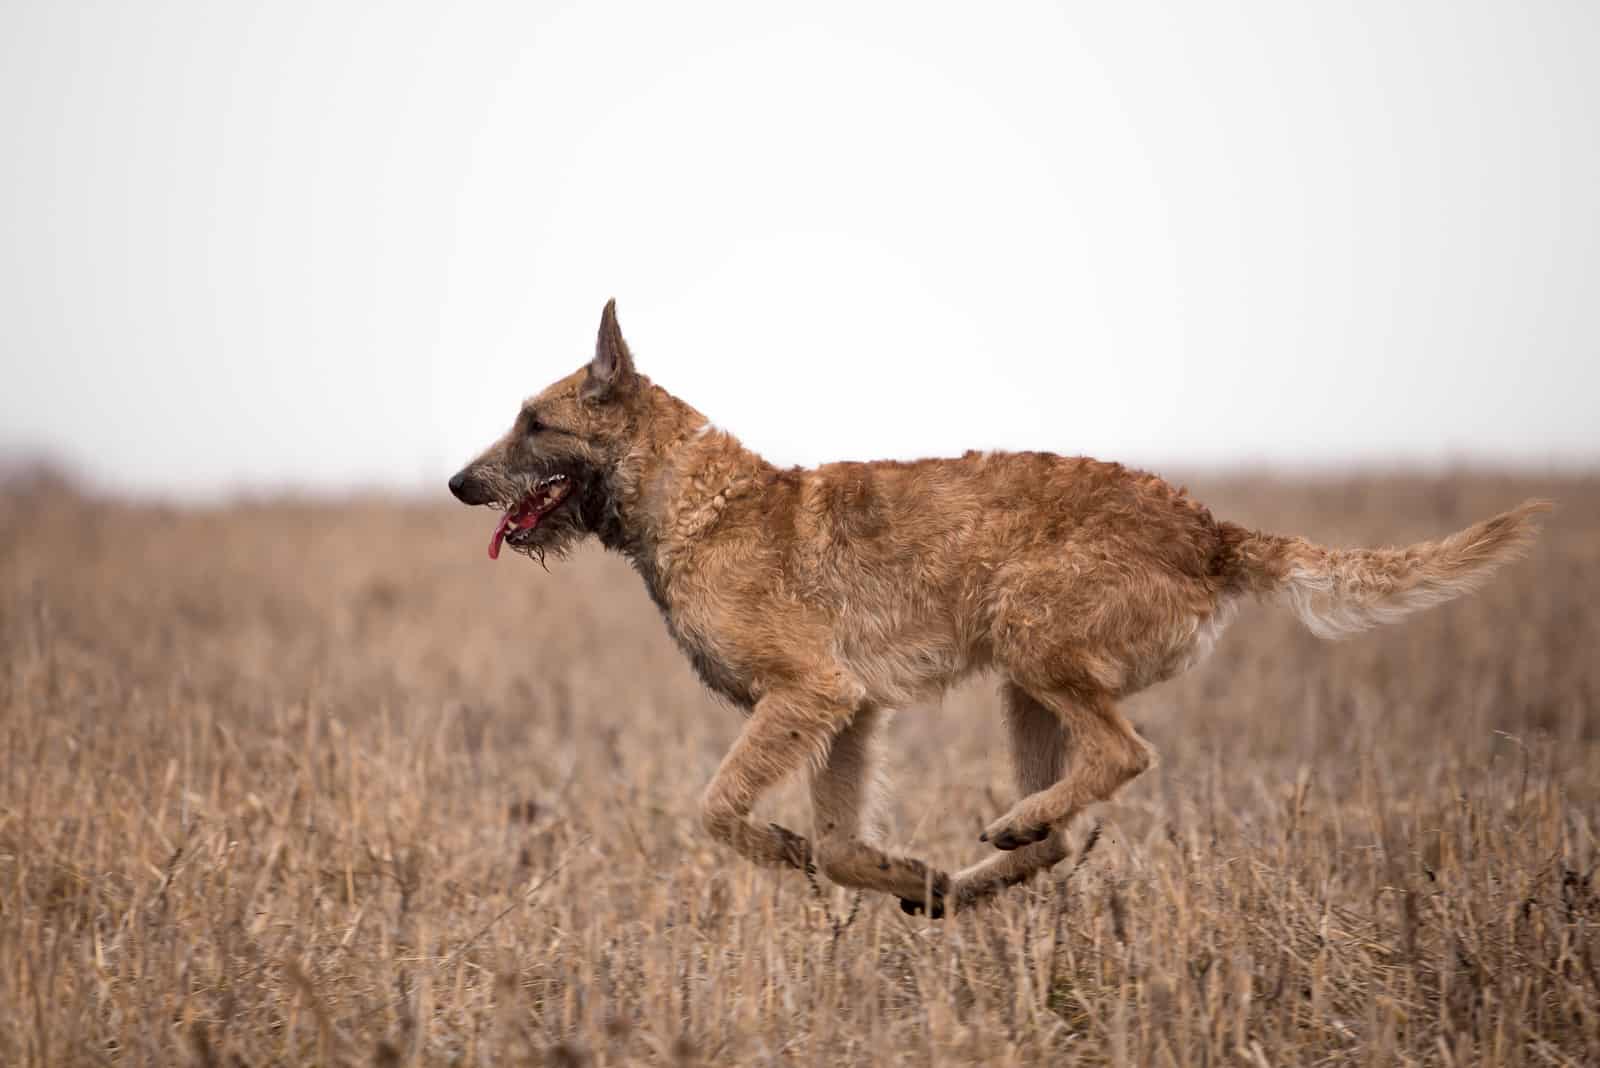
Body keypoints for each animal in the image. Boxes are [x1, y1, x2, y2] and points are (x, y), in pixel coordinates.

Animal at [451, 302, 1548, 920]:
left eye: (534, 423)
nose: (460, 484)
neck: (687, 499)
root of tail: (1211, 530)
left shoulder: (809, 694)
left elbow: (719, 809)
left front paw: (784, 851)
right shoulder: (848, 711)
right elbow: (842, 842)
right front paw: (903, 877)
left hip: (1032, 638)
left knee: (1124, 754)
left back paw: (1012, 826)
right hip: (1026, 691)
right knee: (1069, 822)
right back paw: (980, 875)